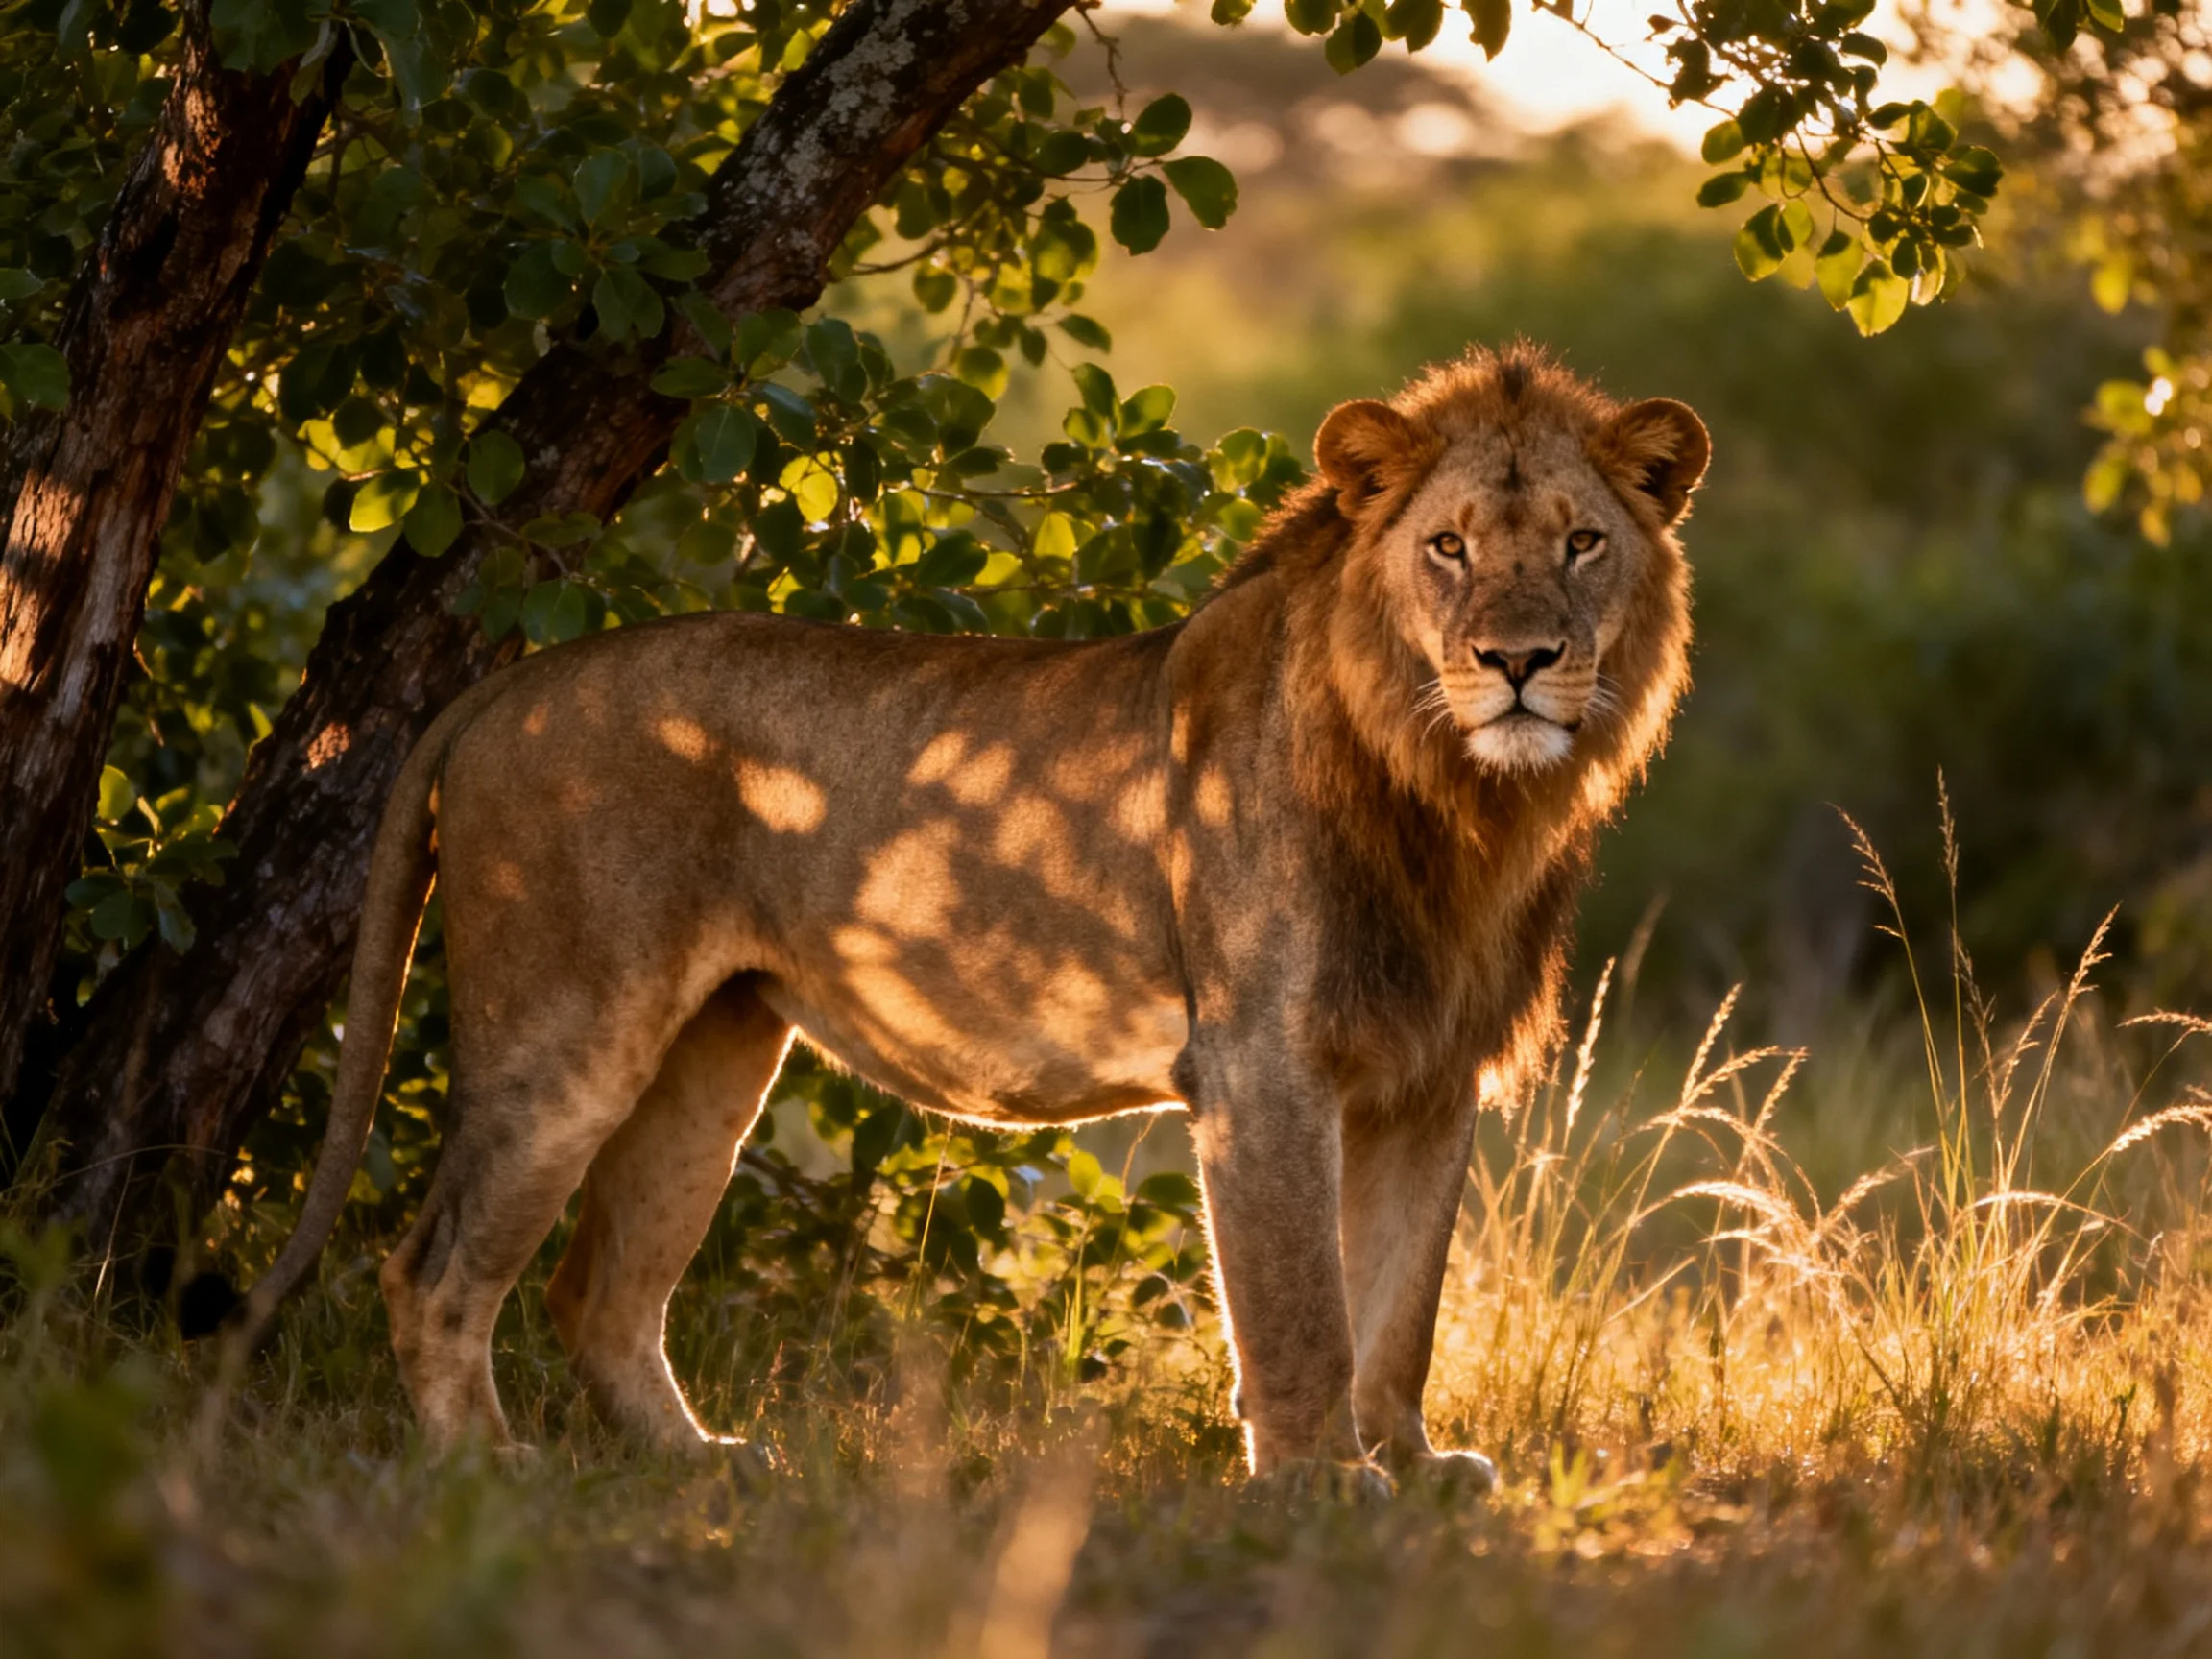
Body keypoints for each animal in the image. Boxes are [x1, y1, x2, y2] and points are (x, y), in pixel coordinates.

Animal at [240, 343, 1705, 1488]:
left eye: (1580, 543)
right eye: (1448, 547)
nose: (1518, 662)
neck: (1458, 802)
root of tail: (506, 683)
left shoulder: (1429, 1075)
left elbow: (1402, 1307)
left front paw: (1409, 1462)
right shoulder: (1263, 1067)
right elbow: (1302, 1311)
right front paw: (1321, 1485)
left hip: (716, 1053)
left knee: (595, 1292)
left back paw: (702, 1466)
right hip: (565, 1030)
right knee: (429, 1270)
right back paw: (487, 1473)